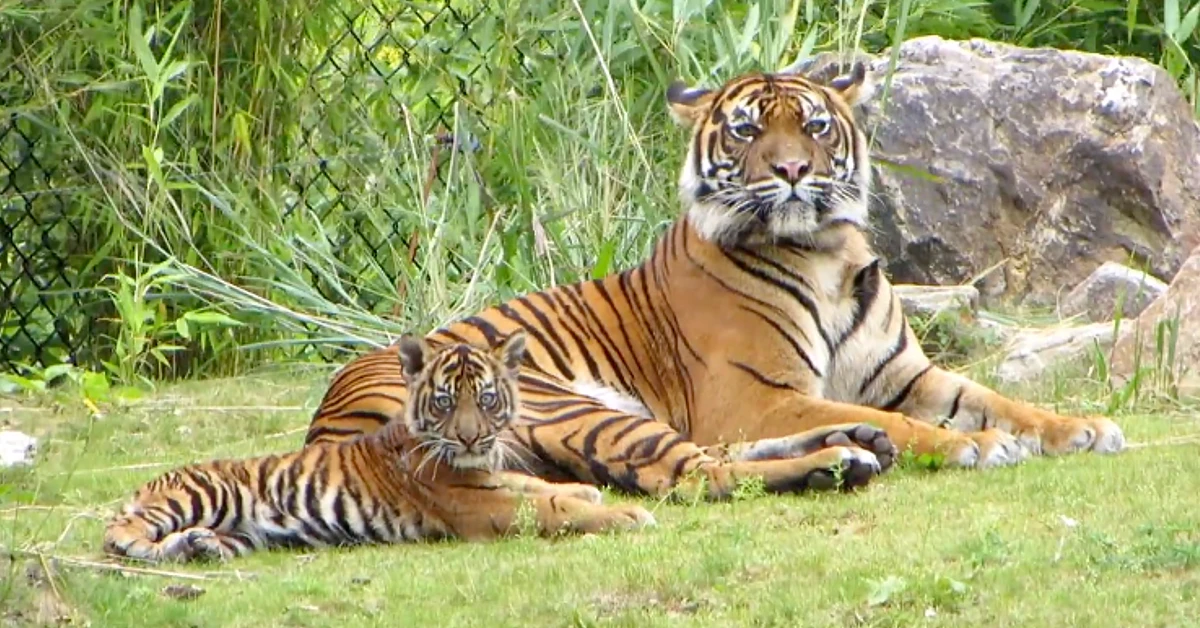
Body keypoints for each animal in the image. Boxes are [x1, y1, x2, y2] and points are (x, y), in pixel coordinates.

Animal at [307, 60, 1123, 501]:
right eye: (746, 129)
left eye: (815, 126)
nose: (791, 170)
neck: (824, 249)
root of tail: (325, 424)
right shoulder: (750, 394)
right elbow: (917, 423)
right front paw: (971, 446)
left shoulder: (903, 374)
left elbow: (996, 399)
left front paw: (1081, 428)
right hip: (565, 403)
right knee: (695, 471)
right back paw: (843, 456)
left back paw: (851, 444)